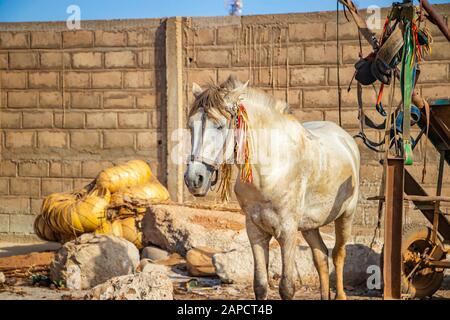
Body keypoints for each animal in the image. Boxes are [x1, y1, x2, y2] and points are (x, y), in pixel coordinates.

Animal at [185, 75, 360, 300]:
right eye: (190, 126)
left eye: (220, 126)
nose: (194, 180)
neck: (269, 173)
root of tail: (346, 139)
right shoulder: (255, 231)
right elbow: (260, 284)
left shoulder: (287, 232)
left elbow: (286, 287)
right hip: (309, 226)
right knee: (321, 256)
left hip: (346, 215)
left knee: (338, 254)